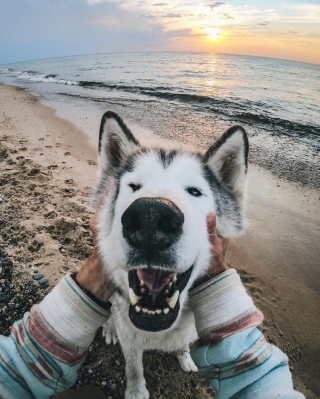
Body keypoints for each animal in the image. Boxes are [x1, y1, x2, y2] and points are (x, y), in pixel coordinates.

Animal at [91, 111, 249, 399]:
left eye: (195, 191)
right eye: (133, 186)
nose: (151, 217)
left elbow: (184, 344)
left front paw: (185, 358)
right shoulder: (130, 338)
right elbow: (133, 368)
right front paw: (136, 391)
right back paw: (109, 327)